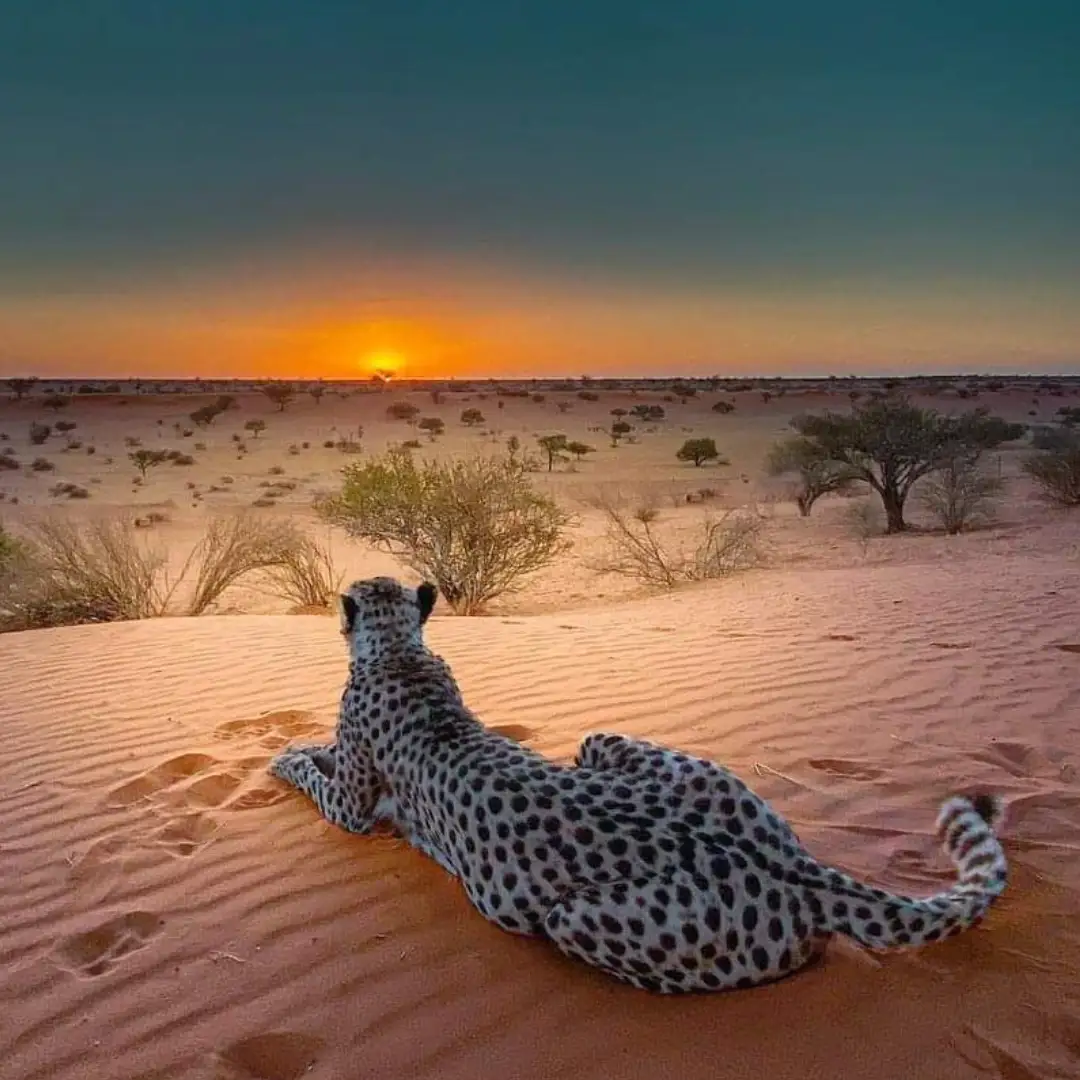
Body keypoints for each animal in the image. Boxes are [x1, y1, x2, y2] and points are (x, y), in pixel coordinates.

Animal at [269, 575, 1009, 994]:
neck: (399, 650)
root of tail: (795, 867)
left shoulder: (352, 807)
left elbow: (316, 772)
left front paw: (284, 756)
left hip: (572, 917)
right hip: (609, 745)